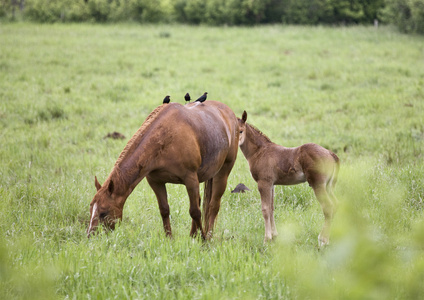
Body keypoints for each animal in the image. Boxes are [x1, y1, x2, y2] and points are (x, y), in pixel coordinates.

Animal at [87, 101, 238, 239]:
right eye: (91, 208)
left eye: (104, 213)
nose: (91, 235)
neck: (166, 138)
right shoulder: (156, 181)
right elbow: (164, 210)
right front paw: (169, 239)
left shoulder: (190, 179)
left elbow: (195, 211)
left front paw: (204, 239)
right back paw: (193, 235)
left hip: (223, 172)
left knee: (213, 206)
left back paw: (209, 236)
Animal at [238, 111, 342, 247]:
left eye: (240, 131)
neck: (260, 152)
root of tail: (331, 154)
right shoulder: (271, 184)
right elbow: (271, 208)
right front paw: (274, 237)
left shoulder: (263, 183)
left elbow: (265, 209)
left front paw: (266, 240)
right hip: (329, 186)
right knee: (335, 204)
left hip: (318, 185)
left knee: (328, 207)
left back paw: (322, 240)